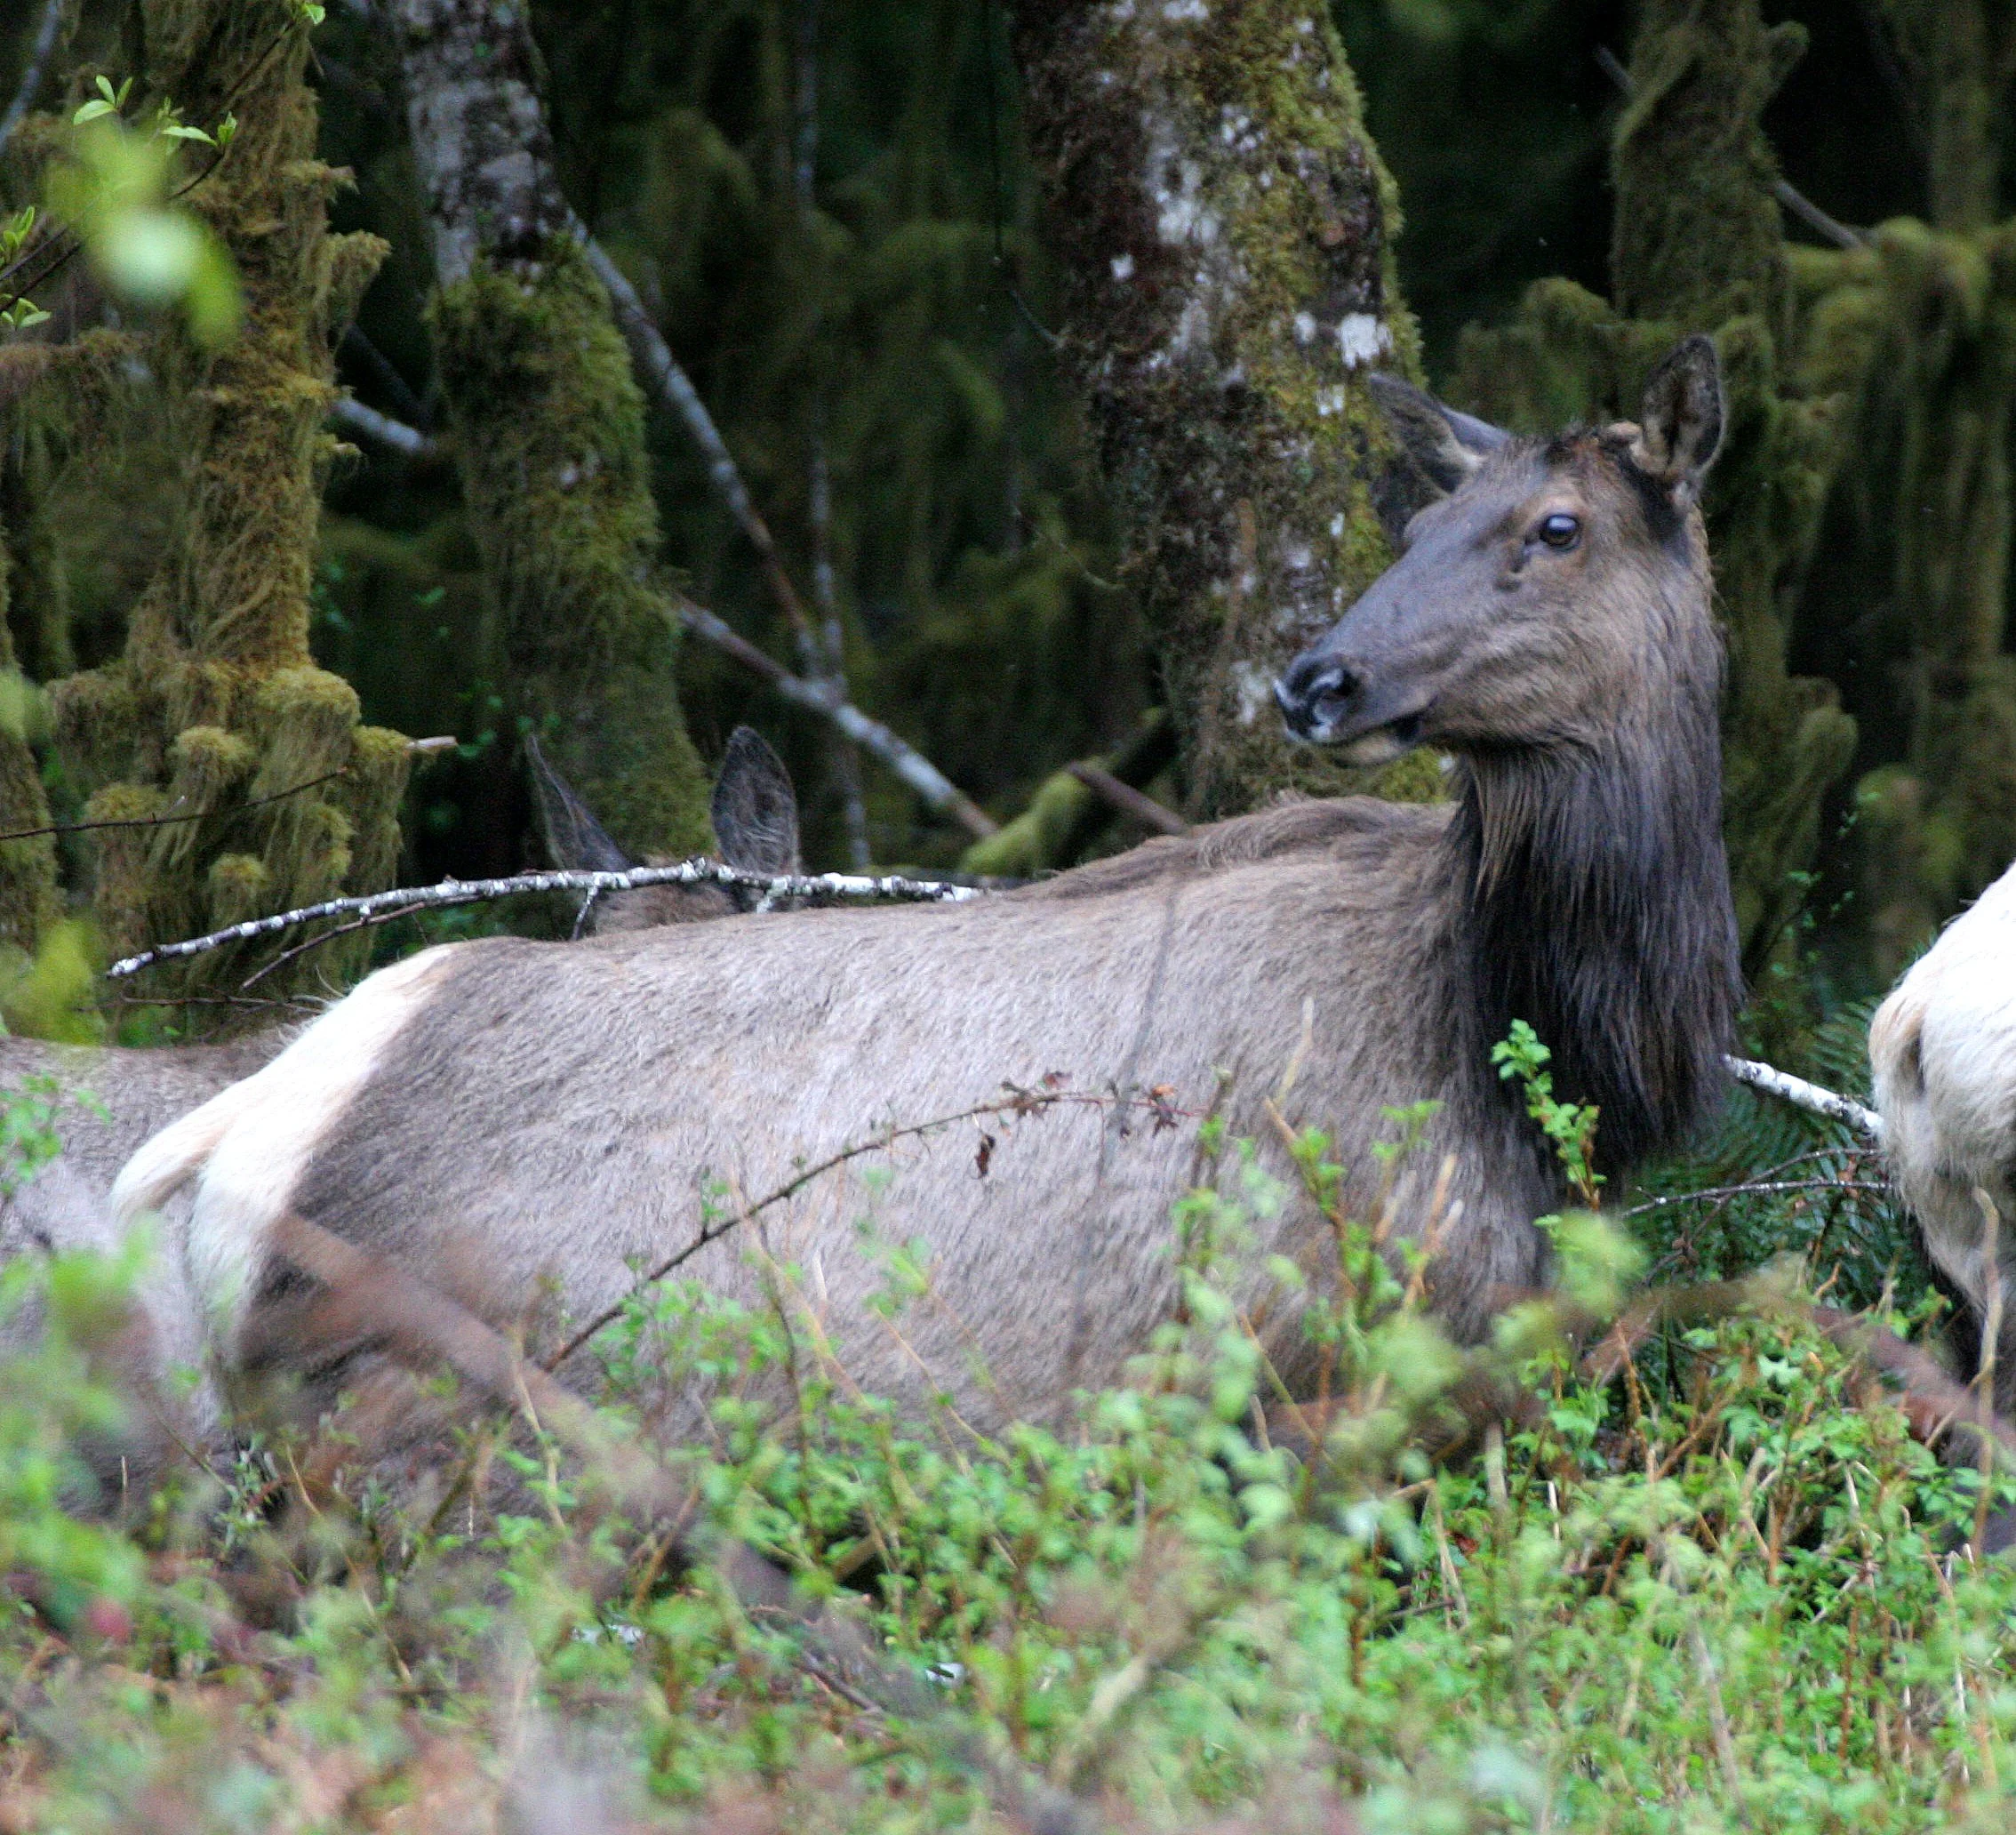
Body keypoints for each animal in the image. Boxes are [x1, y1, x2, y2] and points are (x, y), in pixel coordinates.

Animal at [110, 337, 1741, 1448]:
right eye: (1410, 530)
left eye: (1556, 527)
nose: (1318, 676)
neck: (1545, 1050)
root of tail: (245, 1144)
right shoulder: (1322, 1367)